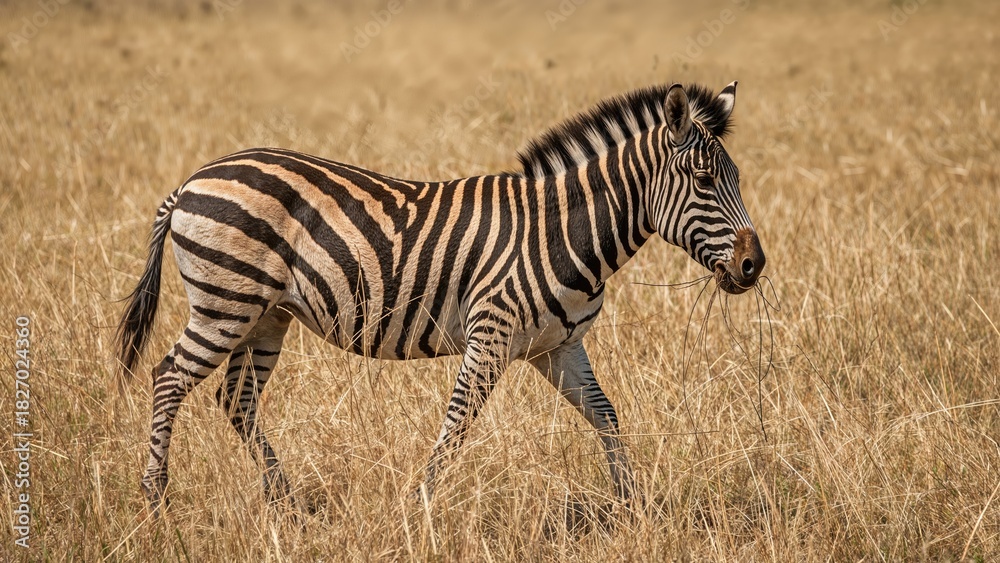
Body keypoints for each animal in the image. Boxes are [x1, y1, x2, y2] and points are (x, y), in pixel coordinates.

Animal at [115, 81, 765, 514]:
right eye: (705, 181)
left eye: (737, 180)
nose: (754, 265)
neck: (563, 231)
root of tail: (191, 181)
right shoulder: (491, 332)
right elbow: (458, 422)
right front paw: (421, 507)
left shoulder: (556, 347)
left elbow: (606, 415)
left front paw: (632, 506)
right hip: (226, 303)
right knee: (169, 378)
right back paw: (156, 501)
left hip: (268, 314)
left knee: (237, 398)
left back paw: (287, 503)